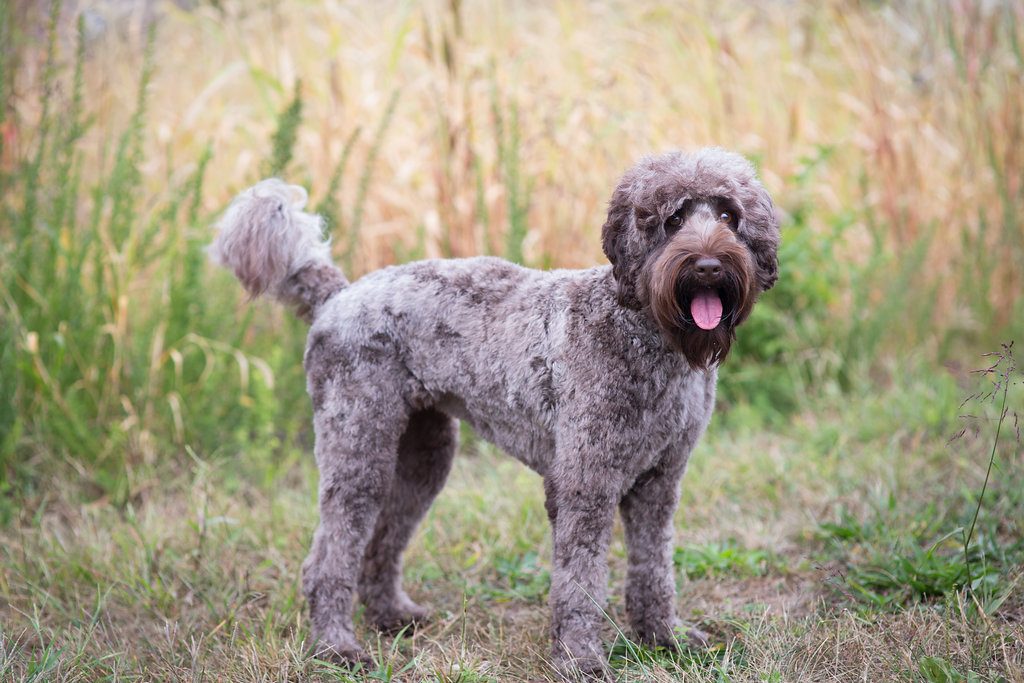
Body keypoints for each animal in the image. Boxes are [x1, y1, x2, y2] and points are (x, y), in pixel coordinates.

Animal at [211, 148, 778, 679]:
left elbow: (654, 567)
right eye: (672, 220)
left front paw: (664, 638)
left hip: (424, 455)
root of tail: (339, 294)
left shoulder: (659, 482)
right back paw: (336, 647)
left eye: (728, 216)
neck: (646, 332)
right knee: (329, 558)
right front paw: (580, 659)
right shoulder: (584, 485)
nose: (708, 267)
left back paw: (392, 616)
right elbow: (579, 582)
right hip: (357, 450)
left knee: (383, 541)